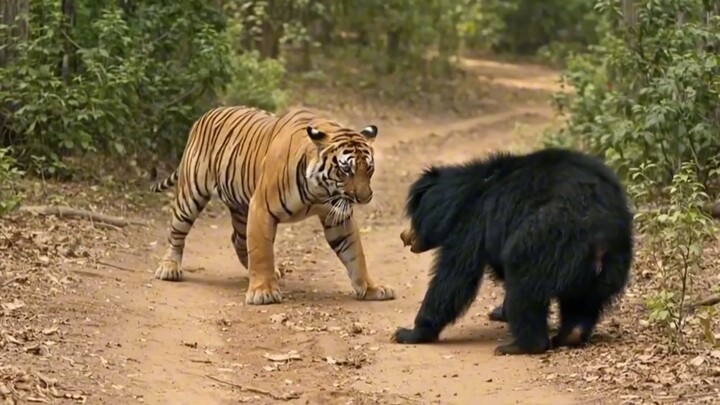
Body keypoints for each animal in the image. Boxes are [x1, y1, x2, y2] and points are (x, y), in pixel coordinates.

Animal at [150, 105, 396, 305]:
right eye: (346, 170)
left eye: (369, 169)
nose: (364, 198)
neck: (320, 192)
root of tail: (205, 115)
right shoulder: (261, 208)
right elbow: (262, 251)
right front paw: (263, 292)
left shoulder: (337, 216)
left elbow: (355, 254)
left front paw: (371, 289)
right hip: (192, 195)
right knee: (177, 233)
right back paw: (169, 268)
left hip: (240, 207)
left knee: (238, 239)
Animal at [392, 147, 634, 355]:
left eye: (414, 217)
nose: (404, 237)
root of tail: (601, 237)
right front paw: (500, 312)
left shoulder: (471, 222)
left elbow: (454, 276)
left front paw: (407, 333)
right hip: (607, 268)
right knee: (581, 303)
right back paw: (569, 335)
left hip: (547, 240)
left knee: (522, 278)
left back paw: (519, 346)